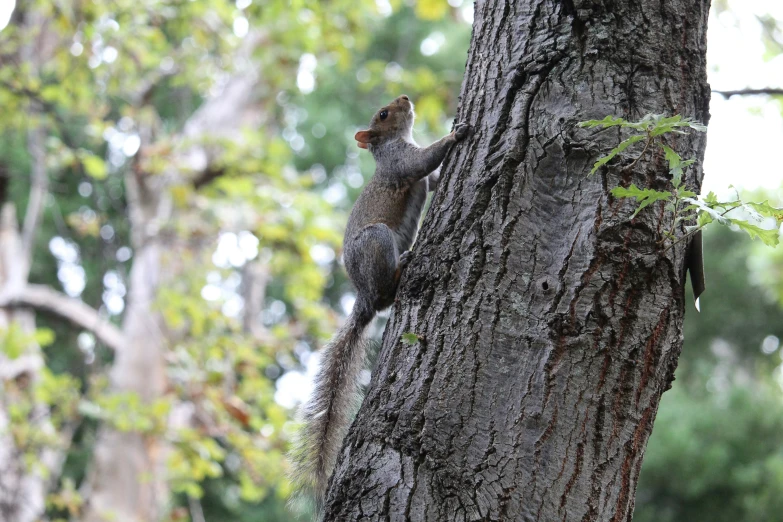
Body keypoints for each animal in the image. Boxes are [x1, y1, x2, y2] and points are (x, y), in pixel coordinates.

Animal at [290, 94, 468, 512]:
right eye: (384, 114)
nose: (404, 97)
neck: (392, 141)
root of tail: (364, 297)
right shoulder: (398, 162)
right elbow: (422, 163)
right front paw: (456, 134)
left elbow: (431, 180)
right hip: (378, 240)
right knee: (387, 290)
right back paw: (401, 267)